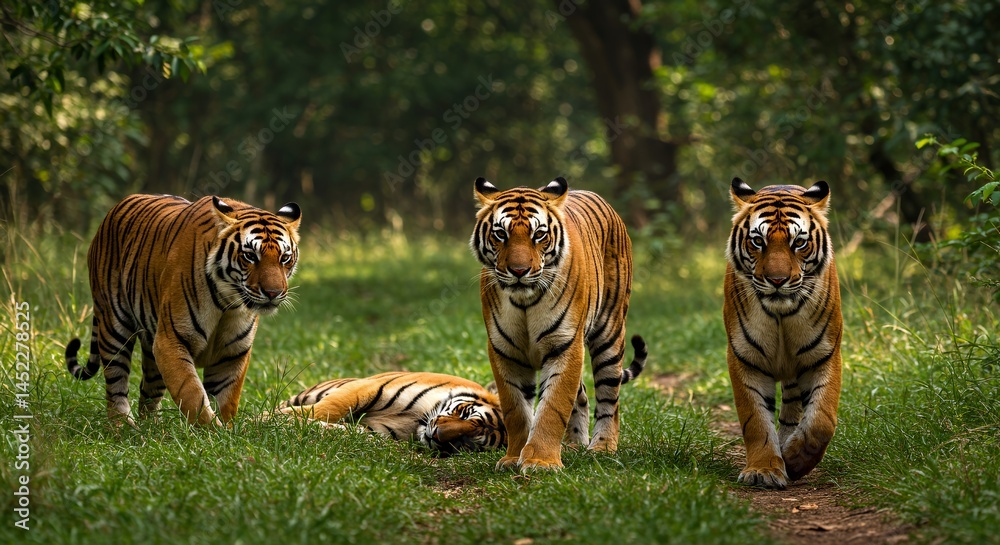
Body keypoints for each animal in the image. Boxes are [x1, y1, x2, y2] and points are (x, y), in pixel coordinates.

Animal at [65, 194, 301, 427]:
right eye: (250, 256)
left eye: (284, 258)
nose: (273, 293)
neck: (229, 303)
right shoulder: (171, 341)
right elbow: (192, 395)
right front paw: (210, 432)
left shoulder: (232, 353)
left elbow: (226, 400)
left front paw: (227, 432)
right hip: (113, 327)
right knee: (116, 385)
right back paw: (123, 427)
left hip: (151, 348)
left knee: (148, 392)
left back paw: (152, 429)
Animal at [275, 371, 507, 454]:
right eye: (465, 413)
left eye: (466, 443)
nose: (437, 435)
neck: (417, 421)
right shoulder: (368, 387)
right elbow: (329, 408)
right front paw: (272, 418)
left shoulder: (376, 430)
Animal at [470, 176, 647, 472]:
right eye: (501, 234)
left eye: (539, 235)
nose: (519, 271)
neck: (524, 301)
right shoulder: (504, 351)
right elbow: (516, 410)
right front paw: (513, 457)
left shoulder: (565, 345)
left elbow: (553, 407)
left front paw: (541, 462)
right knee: (583, 394)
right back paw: (575, 445)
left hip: (610, 334)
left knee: (609, 398)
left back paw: (602, 448)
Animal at [723, 177, 843, 489]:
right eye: (758, 241)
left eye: (798, 242)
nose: (777, 280)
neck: (780, 315)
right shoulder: (745, 358)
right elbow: (755, 420)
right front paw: (763, 470)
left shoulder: (824, 355)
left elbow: (821, 421)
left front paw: (795, 460)